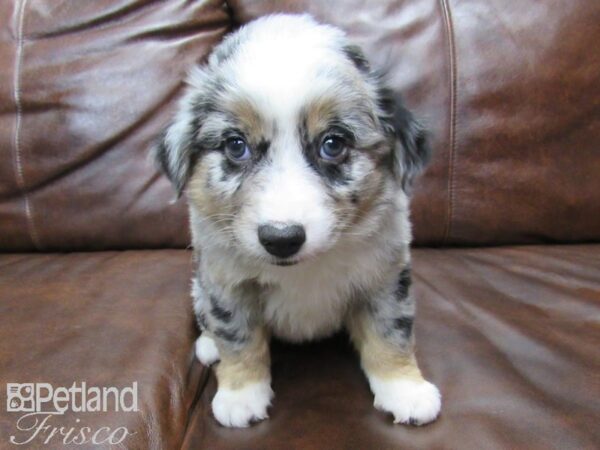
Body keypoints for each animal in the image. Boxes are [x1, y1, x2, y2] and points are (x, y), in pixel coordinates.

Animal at [155, 14, 440, 428]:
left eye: (333, 144)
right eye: (235, 145)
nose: (282, 238)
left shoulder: (385, 276)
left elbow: (391, 331)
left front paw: (404, 388)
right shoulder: (226, 281)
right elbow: (237, 336)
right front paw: (241, 394)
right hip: (199, 284)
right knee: (207, 319)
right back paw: (209, 347)